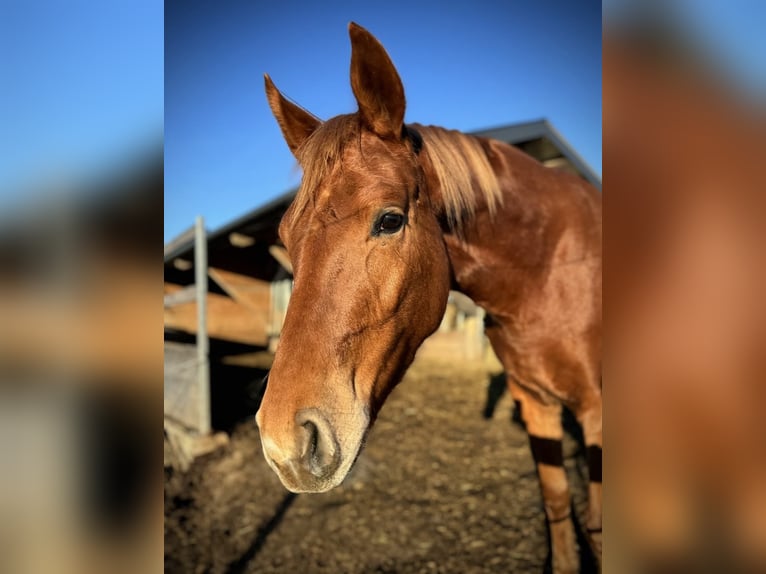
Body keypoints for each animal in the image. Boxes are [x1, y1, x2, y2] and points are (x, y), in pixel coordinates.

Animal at [255, 23, 604, 574]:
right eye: (286, 237)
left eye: (390, 219)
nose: (285, 442)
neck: (551, 272)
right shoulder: (537, 404)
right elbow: (558, 504)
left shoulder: (597, 413)